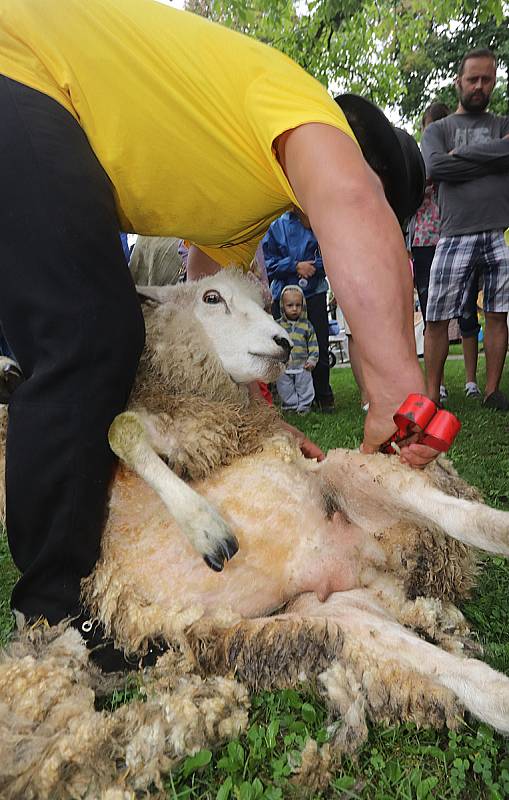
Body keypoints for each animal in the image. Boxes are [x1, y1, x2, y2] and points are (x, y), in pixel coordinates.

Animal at [0, 270, 508, 800]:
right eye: (210, 297)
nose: (284, 341)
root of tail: (371, 562)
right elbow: (120, 428)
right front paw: (207, 525)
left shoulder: (194, 433)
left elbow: (118, 428)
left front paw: (207, 529)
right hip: (336, 615)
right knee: (468, 679)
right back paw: (496, 695)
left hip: (352, 474)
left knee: (471, 521)